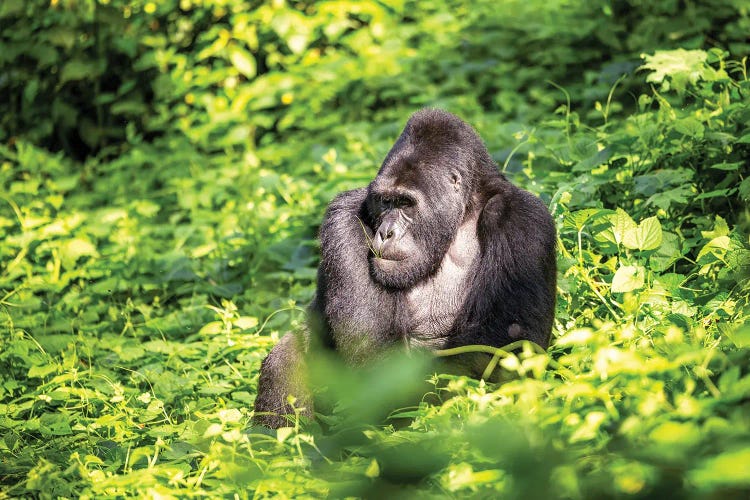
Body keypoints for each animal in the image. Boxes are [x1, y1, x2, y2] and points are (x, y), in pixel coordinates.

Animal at [256, 110, 556, 430]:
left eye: (405, 203)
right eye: (384, 201)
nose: (386, 232)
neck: (462, 214)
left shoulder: (523, 217)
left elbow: (507, 343)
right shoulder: (344, 214)